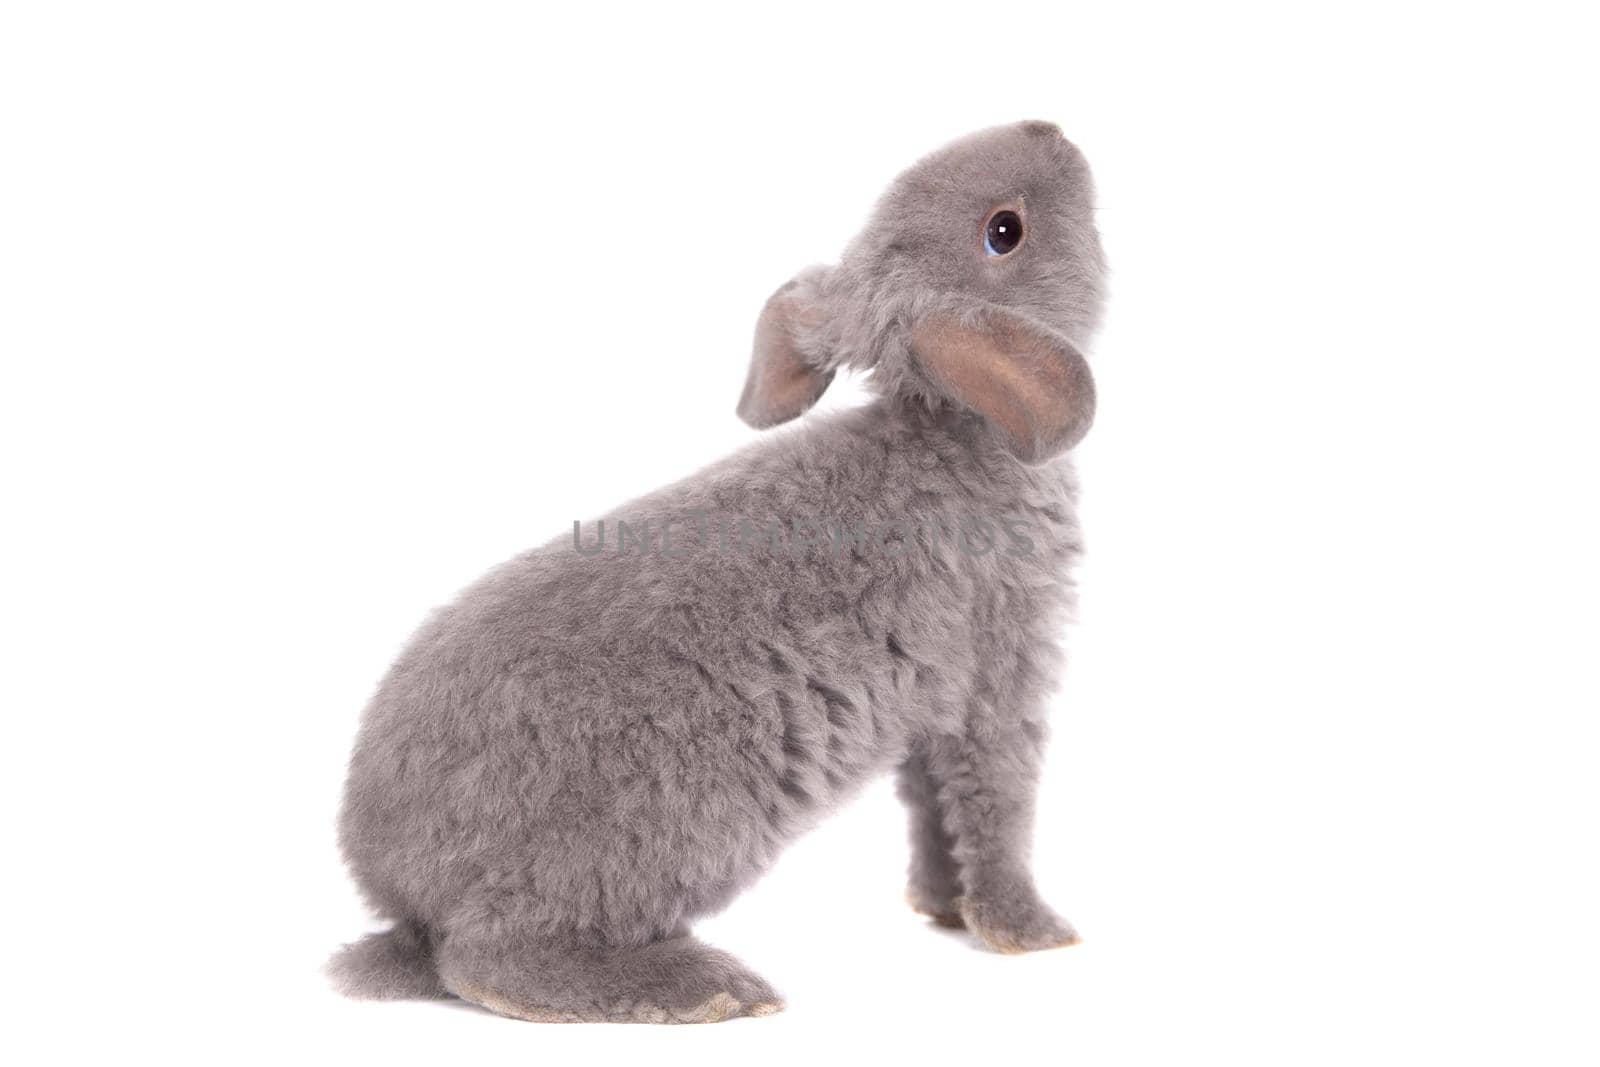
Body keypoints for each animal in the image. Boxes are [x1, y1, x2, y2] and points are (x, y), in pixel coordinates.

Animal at [331, 123, 1107, 1023]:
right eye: (1003, 230)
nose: (1050, 129)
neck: (950, 436)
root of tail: (406, 900)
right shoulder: (998, 688)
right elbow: (998, 809)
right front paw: (1034, 932)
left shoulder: (926, 717)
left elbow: (931, 811)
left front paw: (944, 911)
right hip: (669, 828)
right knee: (491, 959)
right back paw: (709, 987)